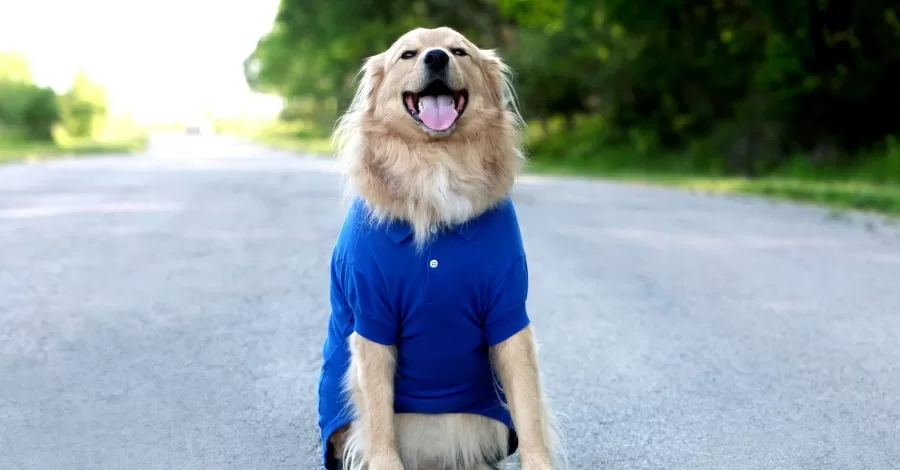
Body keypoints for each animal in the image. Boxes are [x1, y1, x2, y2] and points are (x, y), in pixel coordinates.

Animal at [316, 26, 564, 470]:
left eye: (458, 51)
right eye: (408, 54)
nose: (435, 58)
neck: (438, 160)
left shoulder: (508, 313)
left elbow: (529, 409)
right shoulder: (372, 318)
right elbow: (379, 420)